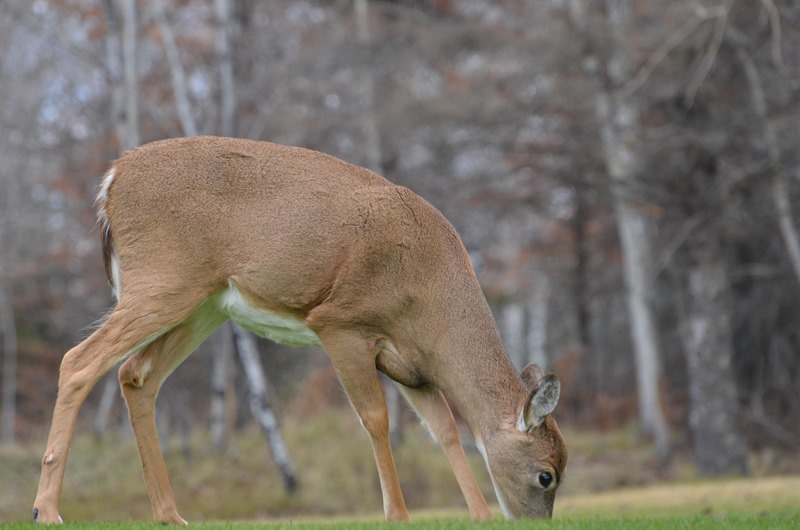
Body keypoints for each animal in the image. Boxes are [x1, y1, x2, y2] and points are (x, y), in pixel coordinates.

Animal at [33, 136, 567, 524]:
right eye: (546, 476)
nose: (534, 524)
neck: (429, 297)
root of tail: (112, 179)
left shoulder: (411, 365)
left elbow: (446, 431)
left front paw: (478, 516)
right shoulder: (342, 323)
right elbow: (376, 419)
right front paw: (397, 514)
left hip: (204, 304)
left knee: (135, 376)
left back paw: (170, 514)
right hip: (162, 279)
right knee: (78, 361)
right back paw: (47, 510)